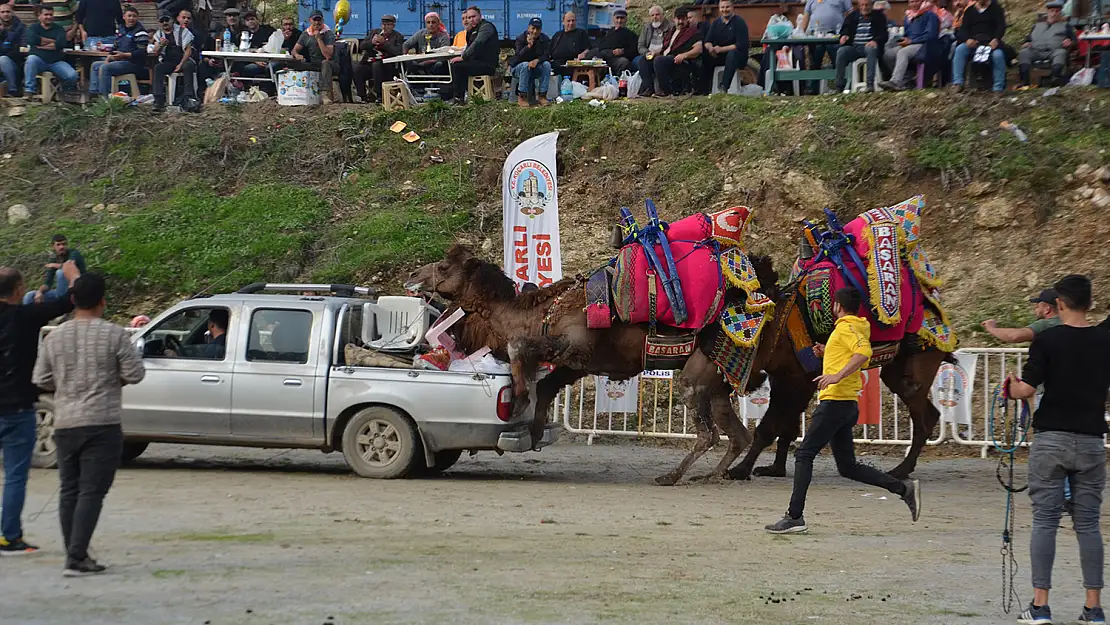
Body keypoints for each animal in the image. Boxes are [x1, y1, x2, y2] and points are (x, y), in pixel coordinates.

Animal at [404, 243, 777, 484]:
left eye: (443, 267)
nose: (412, 274)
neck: (537, 313)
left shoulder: (576, 344)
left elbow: (520, 348)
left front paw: (519, 399)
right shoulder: (578, 364)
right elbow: (547, 385)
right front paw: (535, 431)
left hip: (698, 373)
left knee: (707, 431)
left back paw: (671, 476)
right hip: (719, 380)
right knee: (737, 433)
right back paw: (712, 476)